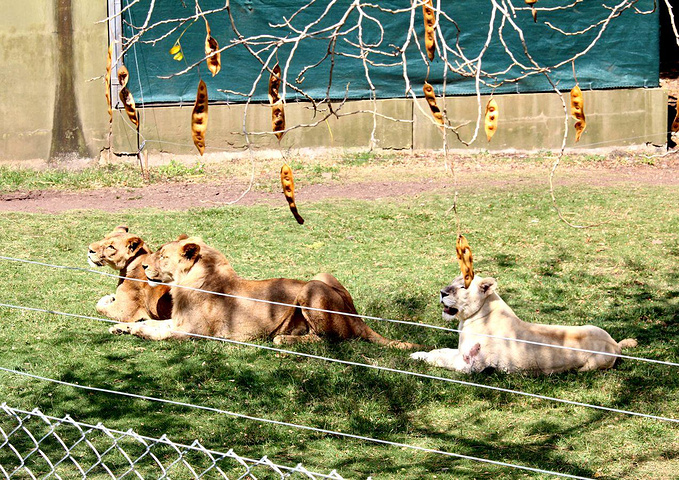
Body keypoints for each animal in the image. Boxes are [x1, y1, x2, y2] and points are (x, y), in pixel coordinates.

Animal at [109, 234, 418, 346]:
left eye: (162, 256)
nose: (143, 266)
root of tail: (358, 316)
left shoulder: (194, 333)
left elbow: (157, 332)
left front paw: (138, 332)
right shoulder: (178, 321)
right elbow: (152, 322)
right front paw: (121, 328)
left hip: (311, 290)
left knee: (331, 340)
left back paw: (283, 339)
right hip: (321, 276)